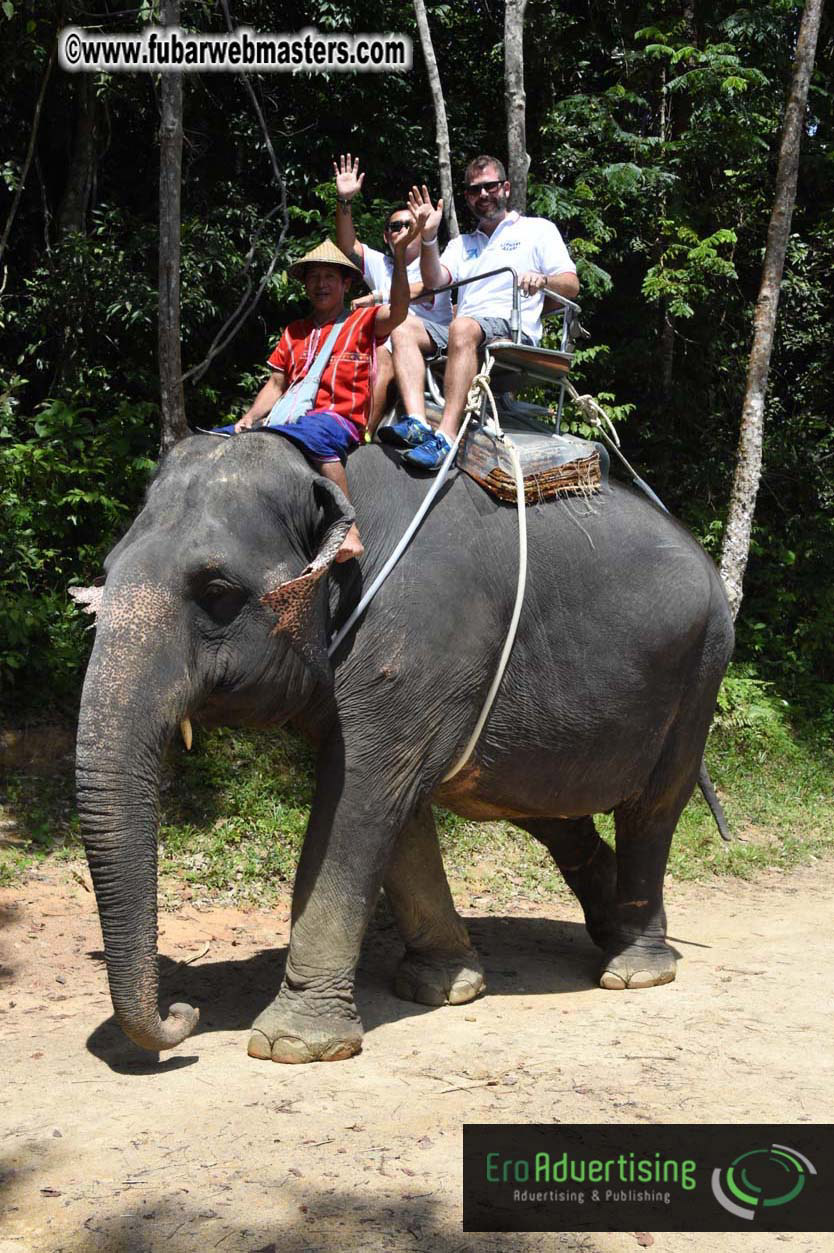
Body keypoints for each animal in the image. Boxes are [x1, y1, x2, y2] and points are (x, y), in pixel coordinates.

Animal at [74, 431, 734, 1062]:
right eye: (106, 570)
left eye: (216, 589)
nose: (183, 1013)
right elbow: (397, 810)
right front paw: (446, 987)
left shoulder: (416, 640)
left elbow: (360, 801)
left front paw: (294, 1044)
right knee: (551, 813)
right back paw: (608, 929)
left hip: (700, 672)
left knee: (652, 810)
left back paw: (635, 969)